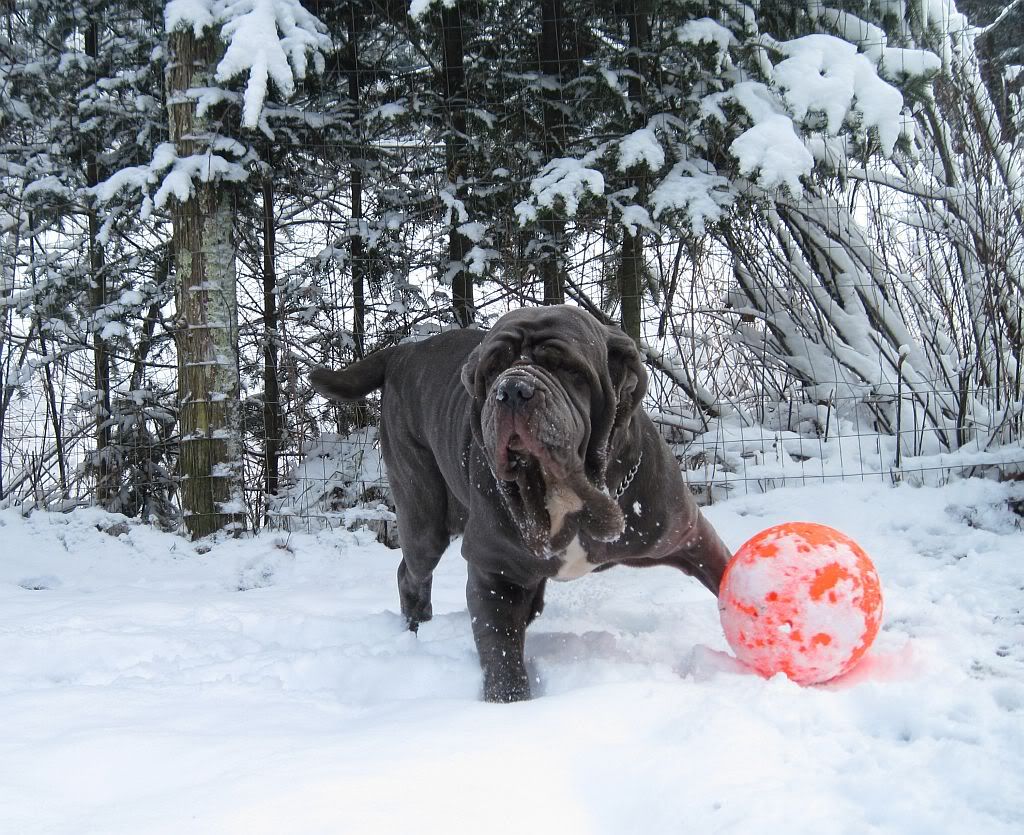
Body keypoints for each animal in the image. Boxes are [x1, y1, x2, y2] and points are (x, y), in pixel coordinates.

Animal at [307, 303, 733, 700]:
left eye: (567, 368)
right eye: (493, 368)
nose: (512, 389)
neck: (564, 496)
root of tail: (403, 351)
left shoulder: (687, 533)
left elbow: (723, 573)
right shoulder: (493, 568)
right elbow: (501, 652)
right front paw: (509, 702)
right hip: (423, 515)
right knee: (411, 572)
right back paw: (416, 629)